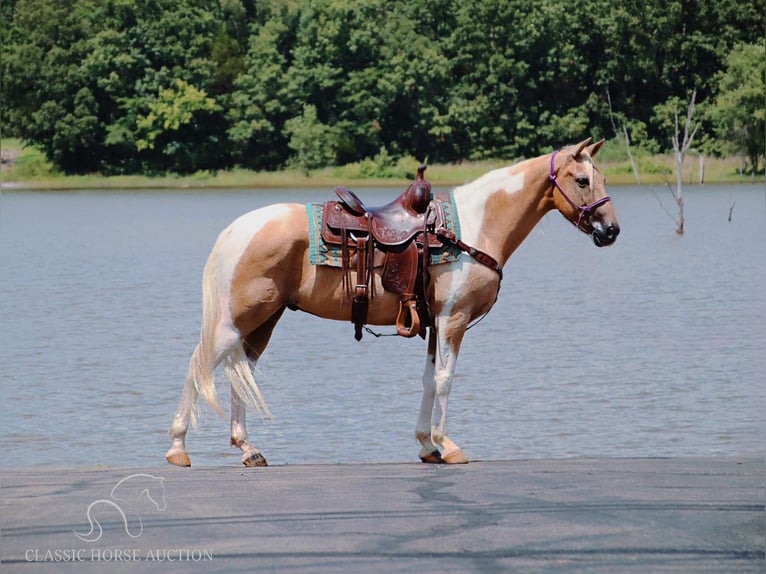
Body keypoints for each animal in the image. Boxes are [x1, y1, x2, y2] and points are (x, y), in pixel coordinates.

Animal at [166, 138, 616, 468]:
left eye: (602, 177)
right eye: (581, 180)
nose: (611, 230)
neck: (473, 228)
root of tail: (236, 229)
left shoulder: (434, 324)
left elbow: (428, 380)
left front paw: (427, 446)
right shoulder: (453, 320)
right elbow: (445, 380)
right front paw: (448, 445)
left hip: (262, 321)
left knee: (239, 373)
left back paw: (249, 449)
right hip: (238, 319)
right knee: (198, 364)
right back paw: (178, 448)